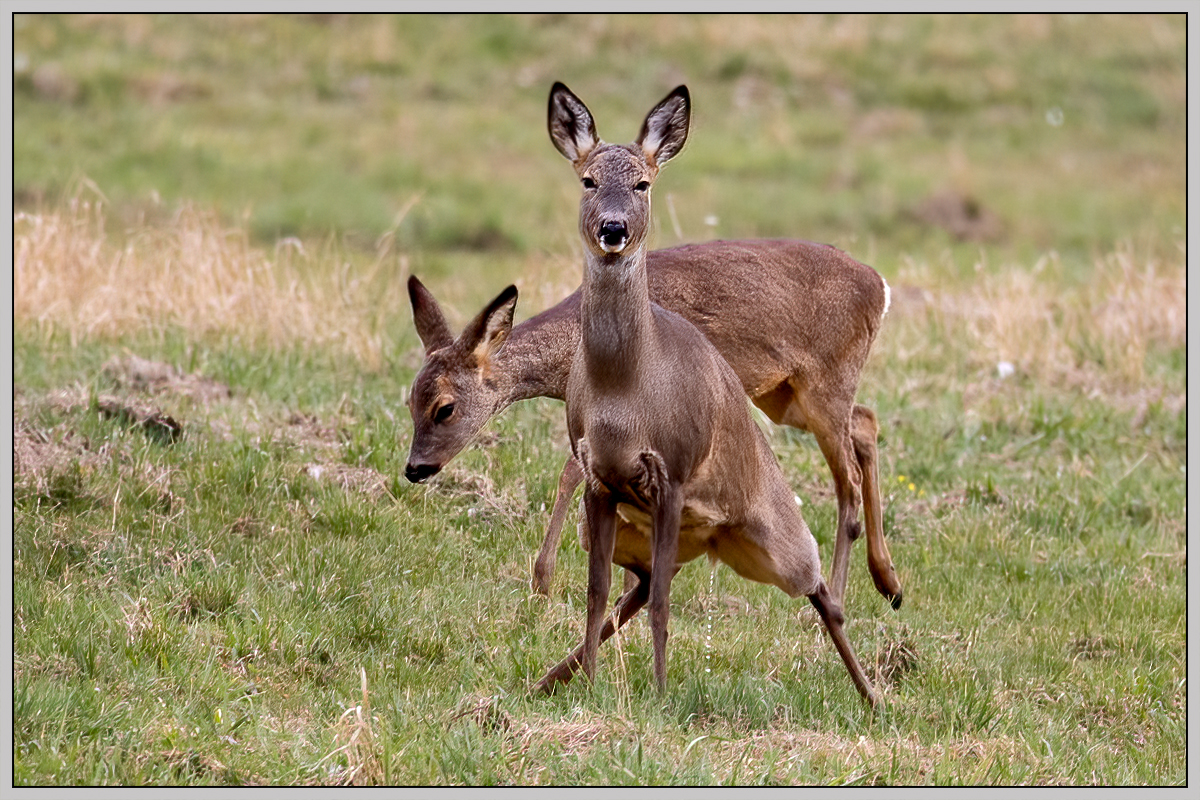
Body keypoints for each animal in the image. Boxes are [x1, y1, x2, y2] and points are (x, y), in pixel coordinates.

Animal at [408, 253, 897, 609]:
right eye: (410, 398)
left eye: (444, 408)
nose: (414, 468)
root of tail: (881, 286)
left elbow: (573, 473)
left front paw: (546, 581)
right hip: (785, 395)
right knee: (866, 421)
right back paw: (889, 584)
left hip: (825, 384)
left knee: (849, 481)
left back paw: (835, 597)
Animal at [523, 82, 873, 705]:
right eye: (588, 179)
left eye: (643, 183)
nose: (613, 229)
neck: (627, 394)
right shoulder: (601, 479)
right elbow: (597, 590)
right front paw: (591, 684)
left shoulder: (675, 473)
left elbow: (663, 601)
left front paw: (660, 695)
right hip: (682, 529)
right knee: (636, 587)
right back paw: (548, 679)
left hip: (774, 525)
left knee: (818, 584)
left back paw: (876, 694)